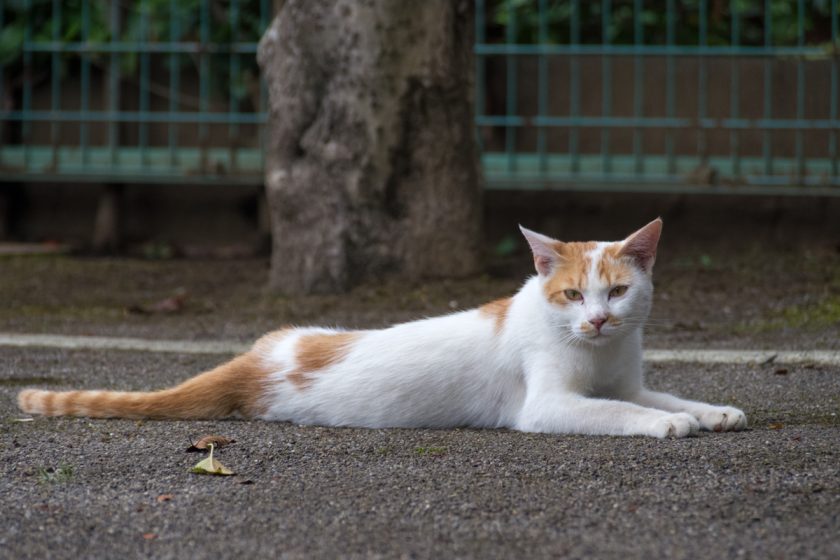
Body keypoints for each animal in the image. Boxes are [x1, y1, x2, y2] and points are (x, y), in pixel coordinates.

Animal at [16, 219, 744, 438]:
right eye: (570, 294)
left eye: (618, 291)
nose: (596, 319)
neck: (597, 356)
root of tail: (258, 355)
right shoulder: (547, 405)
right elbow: (620, 411)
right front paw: (669, 425)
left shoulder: (625, 376)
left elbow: (659, 394)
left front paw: (713, 411)